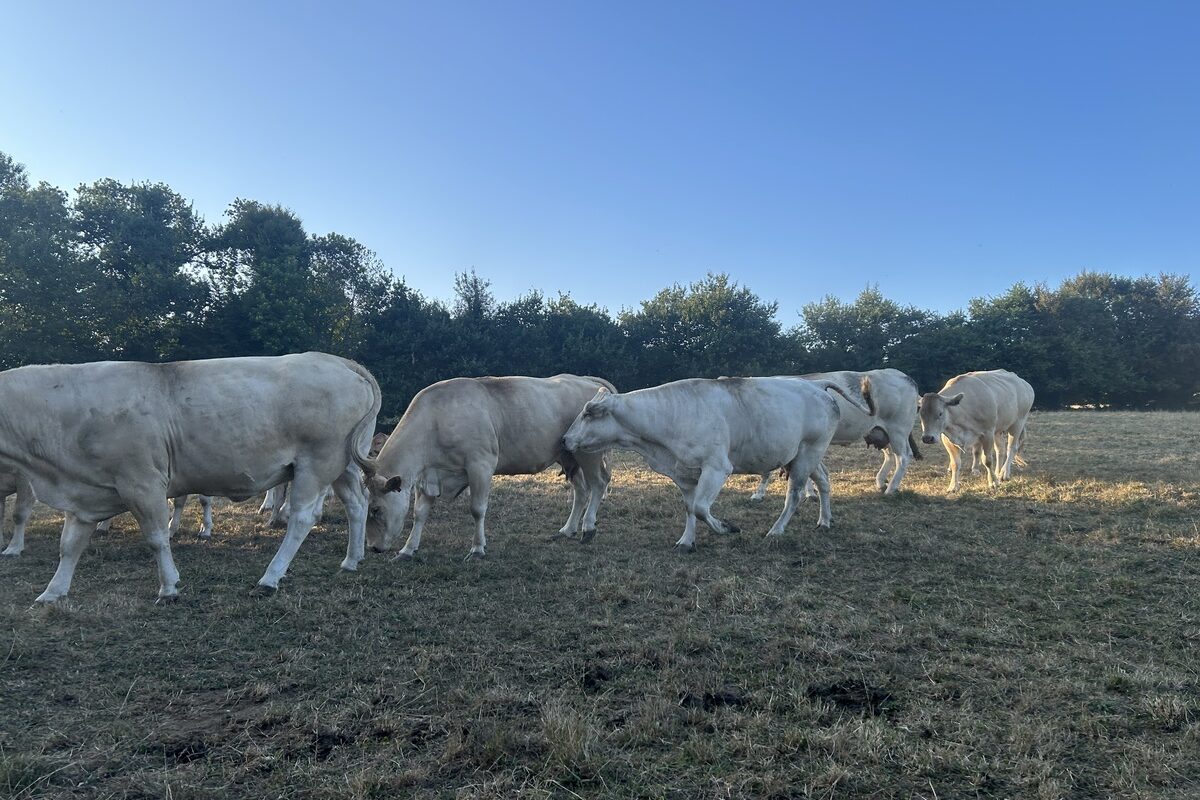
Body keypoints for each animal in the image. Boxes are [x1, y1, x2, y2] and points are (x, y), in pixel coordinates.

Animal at [0, 352, 380, 603]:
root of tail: (337, 361)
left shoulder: (142, 483)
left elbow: (156, 538)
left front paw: (169, 586)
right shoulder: (84, 494)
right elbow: (69, 546)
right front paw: (52, 592)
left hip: (316, 463)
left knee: (302, 518)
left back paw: (271, 576)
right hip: (343, 465)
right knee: (357, 504)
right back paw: (352, 559)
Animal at [354, 375, 613, 560]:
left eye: (375, 509)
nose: (373, 548)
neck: (435, 420)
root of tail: (588, 381)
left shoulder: (480, 465)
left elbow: (477, 509)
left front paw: (477, 549)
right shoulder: (428, 475)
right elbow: (420, 513)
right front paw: (408, 550)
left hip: (587, 453)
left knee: (598, 483)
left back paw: (588, 528)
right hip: (567, 456)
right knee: (581, 490)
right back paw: (568, 529)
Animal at [561, 376, 872, 551]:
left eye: (588, 413)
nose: (564, 439)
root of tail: (816, 385)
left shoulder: (716, 467)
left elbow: (701, 508)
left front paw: (725, 527)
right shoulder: (684, 473)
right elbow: (690, 508)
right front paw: (686, 542)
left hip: (809, 453)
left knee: (794, 494)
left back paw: (776, 530)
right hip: (805, 456)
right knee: (824, 482)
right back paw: (825, 520)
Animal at [748, 369, 922, 501]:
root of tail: (905, 377)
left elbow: (769, 471)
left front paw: (758, 494)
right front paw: (810, 492)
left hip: (898, 430)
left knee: (903, 457)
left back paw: (890, 489)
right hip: (881, 432)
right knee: (890, 455)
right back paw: (880, 482)